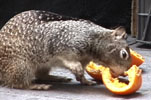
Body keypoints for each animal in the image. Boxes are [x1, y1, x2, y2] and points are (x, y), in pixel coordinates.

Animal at [0, 10, 131, 90]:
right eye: (124, 54)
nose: (124, 72)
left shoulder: (84, 59)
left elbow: (81, 72)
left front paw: (84, 80)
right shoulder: (63, 46)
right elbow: (67, 59)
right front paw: (76, 68)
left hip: (42, 65)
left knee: (41, 74)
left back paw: (57, 78)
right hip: (22, 66)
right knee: (17, 83)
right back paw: (37, 86)